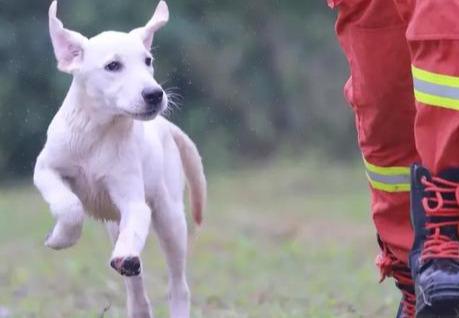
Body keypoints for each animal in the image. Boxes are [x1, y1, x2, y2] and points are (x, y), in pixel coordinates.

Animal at [32, 1, 205, 316]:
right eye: (113, 66)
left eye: (148, 60)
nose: (155, 94)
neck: (98, 133)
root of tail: (166, 125)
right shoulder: (45, 169)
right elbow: (69, 205)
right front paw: (60, 238)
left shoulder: (134, 201)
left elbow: (134, 222)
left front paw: (124, 255)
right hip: (115, 225)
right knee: (137, 293)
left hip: (170, 219)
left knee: (178, 286)